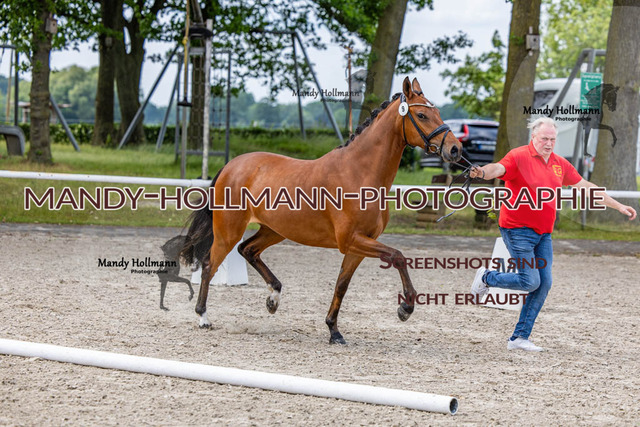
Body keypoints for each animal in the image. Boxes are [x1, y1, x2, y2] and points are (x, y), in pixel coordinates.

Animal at [180, 77, 462, 344]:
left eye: (438, 112)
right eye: (422, 115)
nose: (455, 149)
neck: (359, 173)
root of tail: (232, 165)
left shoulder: (358, 246)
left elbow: (341, 286)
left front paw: (334, 331)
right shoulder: (351, 240)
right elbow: (398, 256)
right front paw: (405, 308)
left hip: (275, 230)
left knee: (247, 250)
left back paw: (273, 298)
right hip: (229, 230)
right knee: (209, 265)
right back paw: (203, 317)